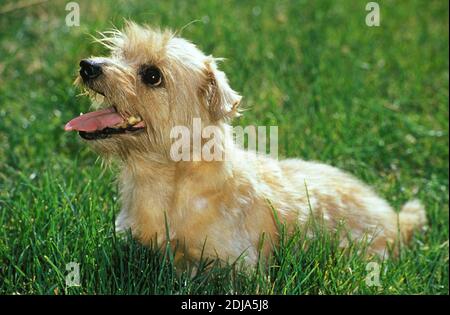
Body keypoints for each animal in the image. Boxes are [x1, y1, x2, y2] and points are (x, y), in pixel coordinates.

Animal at [63, 22, 426, 268]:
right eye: (119, 53)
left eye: (152, 75)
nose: (88, 66)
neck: (168, 180)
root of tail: (397, 220)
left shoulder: (234, 265)